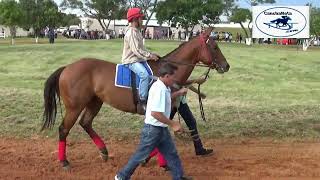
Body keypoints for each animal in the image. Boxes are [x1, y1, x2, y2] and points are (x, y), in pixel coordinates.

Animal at [41, 27, 230, 169]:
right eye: (214, 47)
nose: (226, 66)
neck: (169, 72)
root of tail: (67, 68)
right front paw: (151, 160)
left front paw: (155, 160)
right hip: (75, 107)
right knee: (64, 129)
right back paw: (64, 161)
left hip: (95, 102)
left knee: (86, 123)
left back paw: (104, 151)